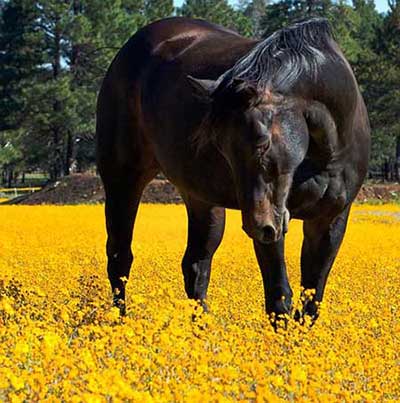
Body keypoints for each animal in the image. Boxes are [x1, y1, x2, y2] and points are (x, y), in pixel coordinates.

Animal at [96, 18, 368, 326]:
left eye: (262, 141)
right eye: (220, 145)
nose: (257, 225)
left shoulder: (330, 220)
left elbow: (312, 300)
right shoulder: (273, 224)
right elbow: (279, 297)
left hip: (202, 200)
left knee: (196, 265)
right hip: (123, 179)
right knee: (120, 257)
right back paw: (119, 322)